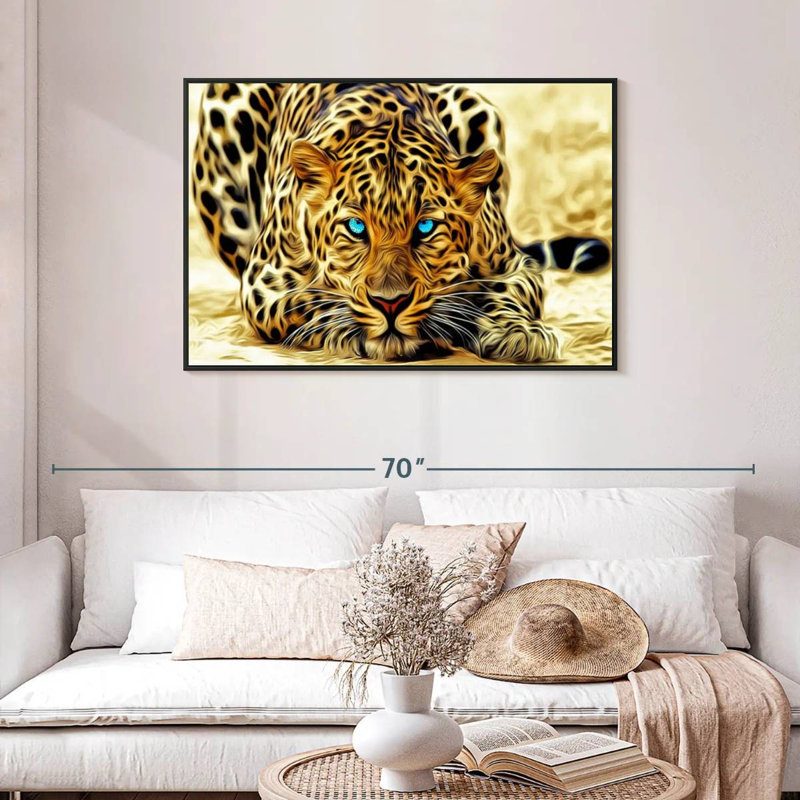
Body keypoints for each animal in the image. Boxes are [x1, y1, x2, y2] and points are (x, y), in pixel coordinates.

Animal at [190, 81, 609, 363]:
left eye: (425, 228)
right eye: (356, 228)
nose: (390, 304)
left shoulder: (514, 264)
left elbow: (509, 291)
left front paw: (518, 331)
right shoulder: (264, 281)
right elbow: (312, 298)